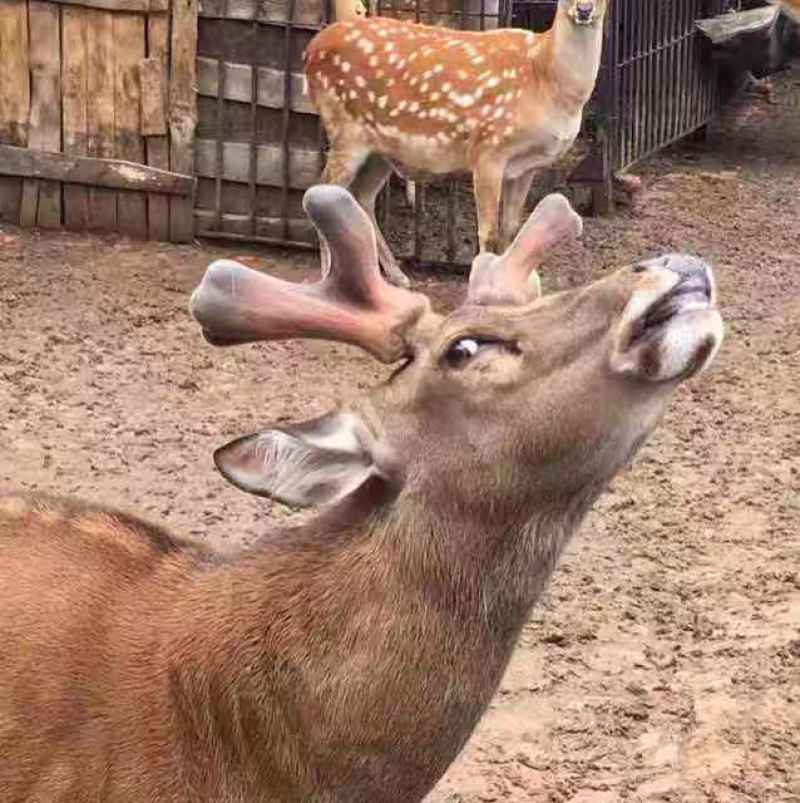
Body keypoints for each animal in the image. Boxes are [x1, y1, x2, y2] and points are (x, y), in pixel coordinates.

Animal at [304, 0, 608, 287]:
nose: (584, 10)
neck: (544, 77)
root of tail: (310, 51)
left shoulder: (526, 167)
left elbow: (511, 229)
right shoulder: (488, 149)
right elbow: (489, 232)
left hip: (380, 147)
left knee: (361, 196)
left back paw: (397, 275)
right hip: (345, 130)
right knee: (320, 189)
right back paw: (328, 275)